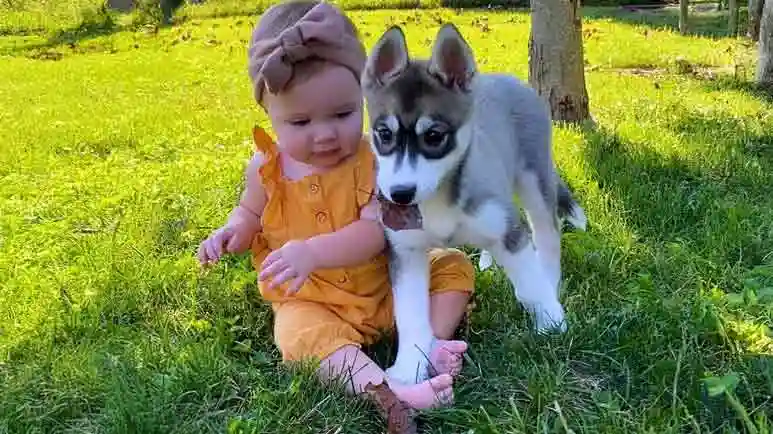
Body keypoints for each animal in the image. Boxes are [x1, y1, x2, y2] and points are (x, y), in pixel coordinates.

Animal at [360, 23, 584, 384]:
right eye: (384, 134)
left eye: (434, 136)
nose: (400, 194)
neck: (439, 199)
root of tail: (506, 78)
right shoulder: (406, 251)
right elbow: (410, 313)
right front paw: (409, 366)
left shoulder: (509, 232)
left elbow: (530, 284)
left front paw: (551, 322)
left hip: (535, 179)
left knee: (547, 233)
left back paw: (550, 280)